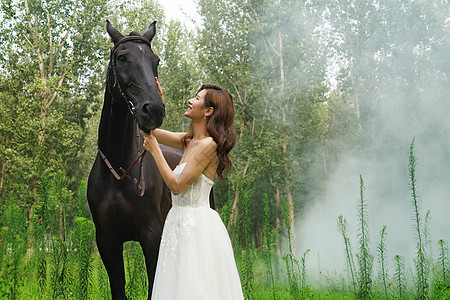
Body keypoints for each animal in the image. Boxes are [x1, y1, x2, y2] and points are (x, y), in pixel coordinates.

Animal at [87, 19, 183, 298]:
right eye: (122, 58)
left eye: (156, 60)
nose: (154, 110)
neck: (119, 173)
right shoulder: (107, 241)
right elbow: (118, 287)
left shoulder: (151, 236)